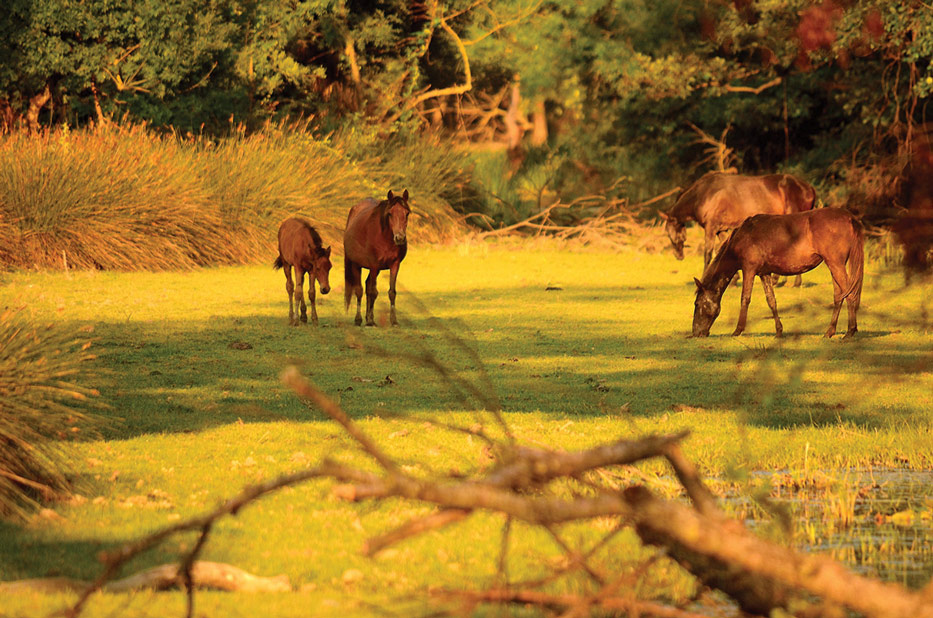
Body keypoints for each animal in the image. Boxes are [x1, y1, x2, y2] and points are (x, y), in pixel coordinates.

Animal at [342, 188, 408, 324]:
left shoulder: (394, 265)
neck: (384, 238)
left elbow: (391, 292)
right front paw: (370, 321)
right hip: (356, 265)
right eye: (390, 214)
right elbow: (372, 292)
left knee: (367, 286)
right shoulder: (373, 265)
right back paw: (359, 319)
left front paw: (393, 320)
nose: (400, 238)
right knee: (359, 290)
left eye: (407, 213)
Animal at [664, 170, 816, 278]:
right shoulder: (721, 230)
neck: (704, 193)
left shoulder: (710, 227)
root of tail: (809, 188)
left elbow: (708, 254)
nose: (678, 256)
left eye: (669, 234)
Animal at [688, 209, 864, 340]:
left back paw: (850, 331)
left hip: (835, 264)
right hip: (835, 265)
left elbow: (745, 298)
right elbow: (771, 301)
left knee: (849, 294)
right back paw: (830, 331)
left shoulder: (749, 269)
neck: (742, 236)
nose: (696, 333)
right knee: (839, 295)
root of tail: (849, 218)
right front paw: (779, 331)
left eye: (697, 304)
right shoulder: (764, 273)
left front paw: (737, 330)